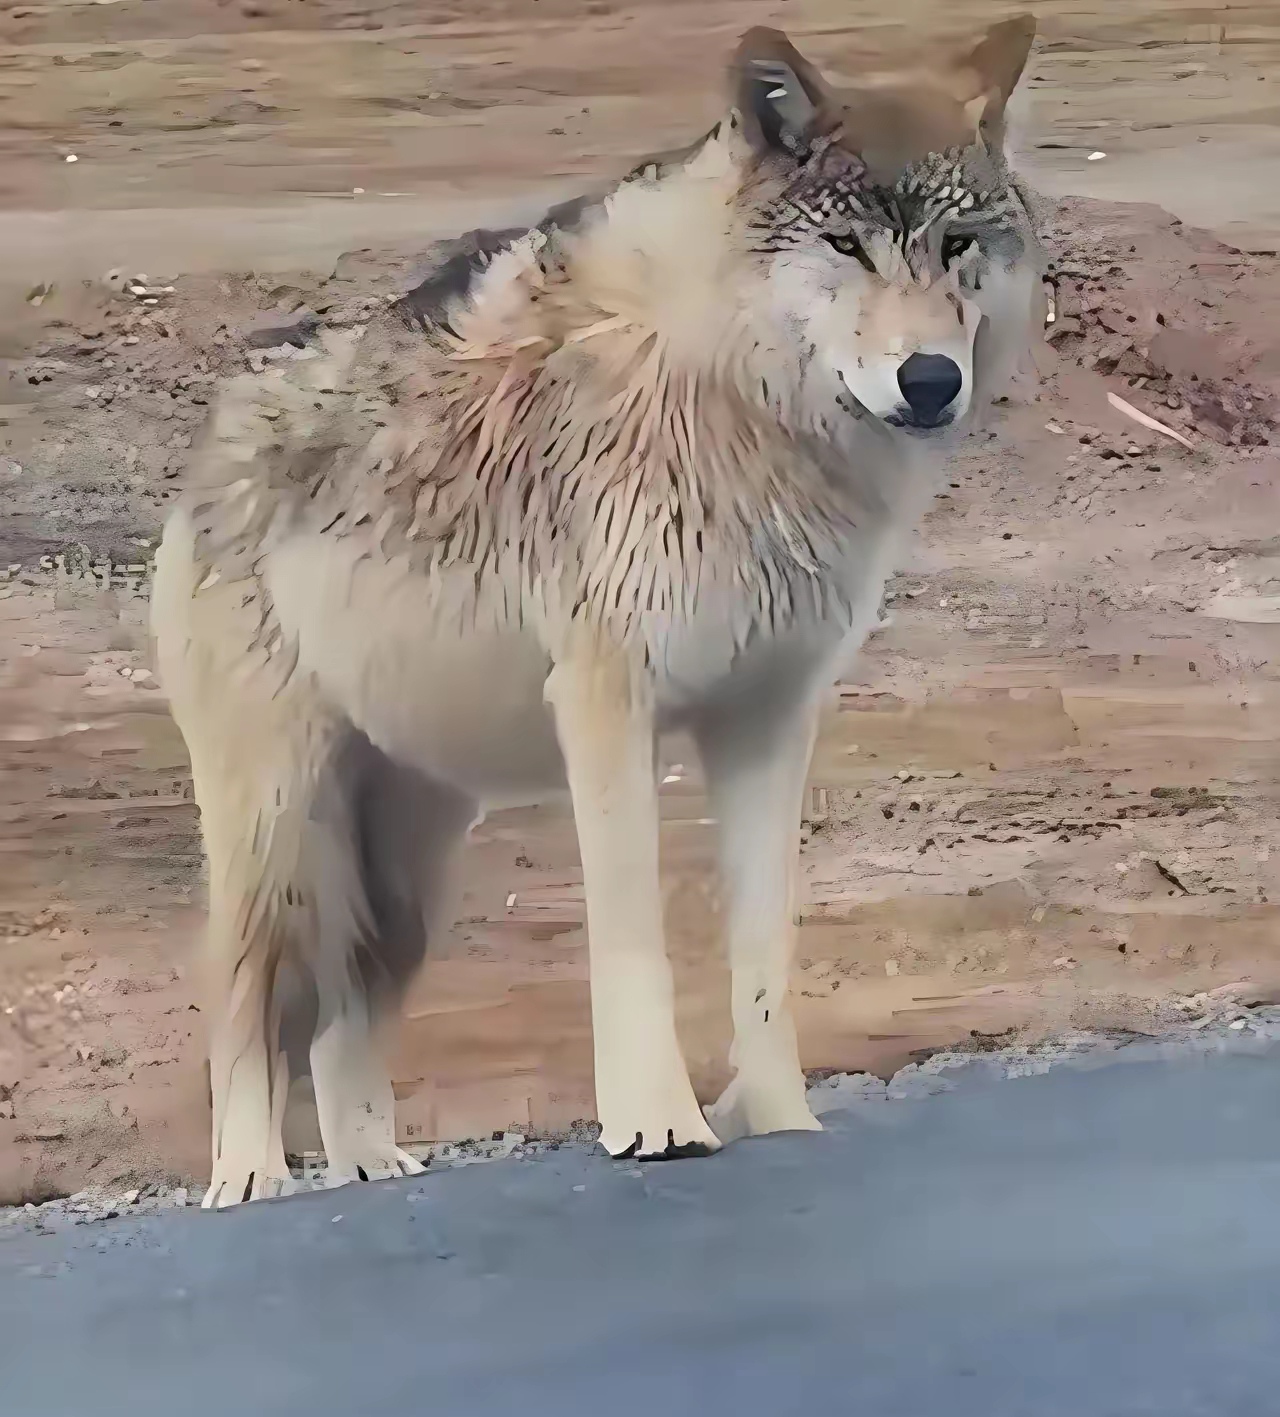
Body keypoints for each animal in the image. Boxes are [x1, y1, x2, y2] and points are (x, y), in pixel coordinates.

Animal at [152, 13, 1048, 1207]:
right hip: (284, 833)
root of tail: (207, 437)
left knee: (342, 1025)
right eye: (848, 248)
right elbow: (633, 942)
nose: (930, 381)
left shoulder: (767, 720)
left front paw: (780, 1119)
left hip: (408, 873)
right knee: (242, 999)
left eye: (955, 247)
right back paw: (249, 1179)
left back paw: (376, 1168)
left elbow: (763, 952)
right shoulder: (605, 703)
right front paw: (657, 1124)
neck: (741, 409)